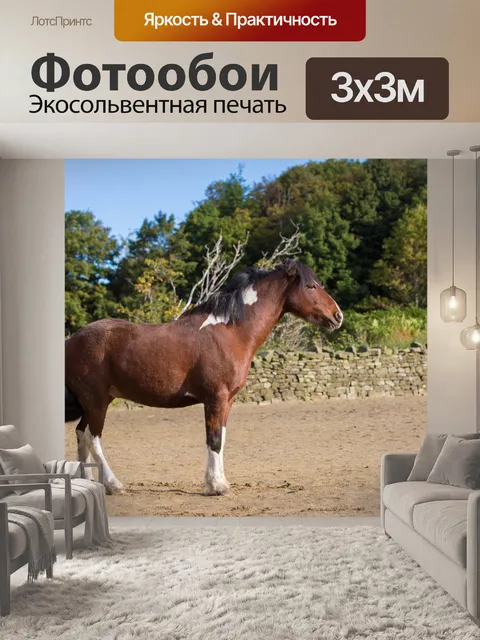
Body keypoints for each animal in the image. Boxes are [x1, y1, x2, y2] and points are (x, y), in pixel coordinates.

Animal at [65, 259, 343, 496]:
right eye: (311, 286)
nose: (337, 315)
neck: (230, 332)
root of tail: (71, 341)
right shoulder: (215, 398)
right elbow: (214, 440)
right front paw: (216, 486)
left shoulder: (227, 401)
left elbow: (221, 438)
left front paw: (219, 481)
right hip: (97, 402)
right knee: (92, 438)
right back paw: (114, 485)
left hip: (96, 402)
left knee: (80, 434)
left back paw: (88, 483)